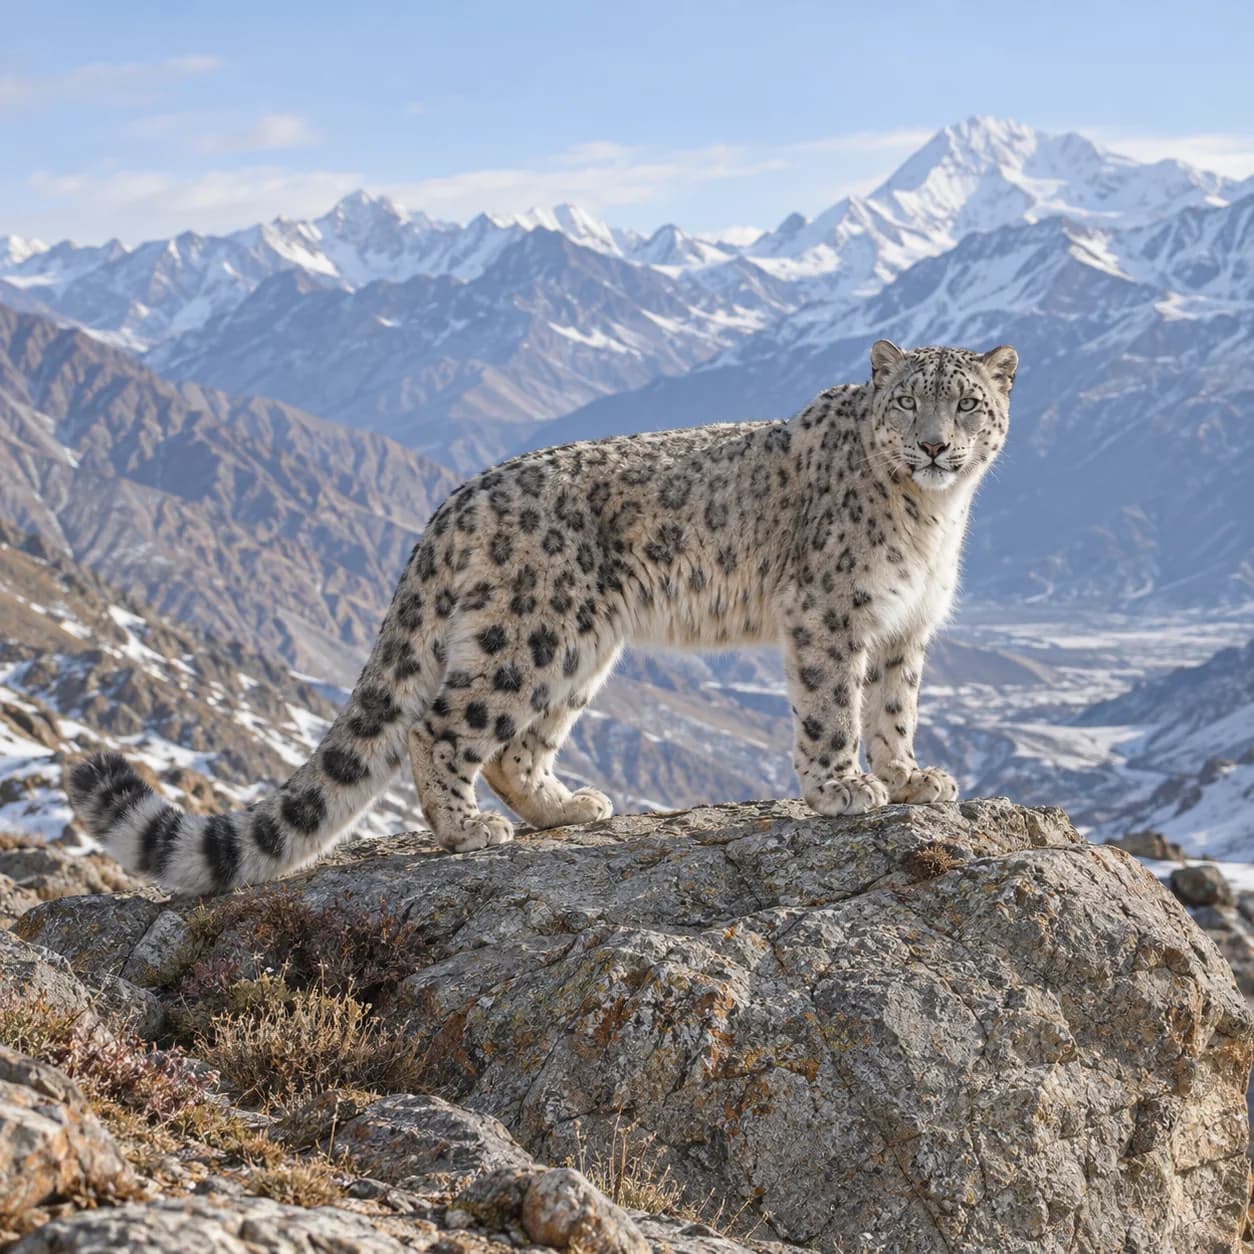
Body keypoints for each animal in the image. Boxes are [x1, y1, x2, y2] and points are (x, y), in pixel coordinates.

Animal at [68, 339, 1017, 893]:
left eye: (967, 402)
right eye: (908, 401)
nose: (934, 444)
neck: (933, 520)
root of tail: (454, 501)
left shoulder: (906, 628)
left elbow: (894, 708)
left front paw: (910, 778)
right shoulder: (831, 613)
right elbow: (833, 709)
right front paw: (841, 788)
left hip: (582, 648)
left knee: (517, 748)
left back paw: (566, 811)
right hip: (532, 635)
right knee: (442, 726)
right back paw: (466, 832)